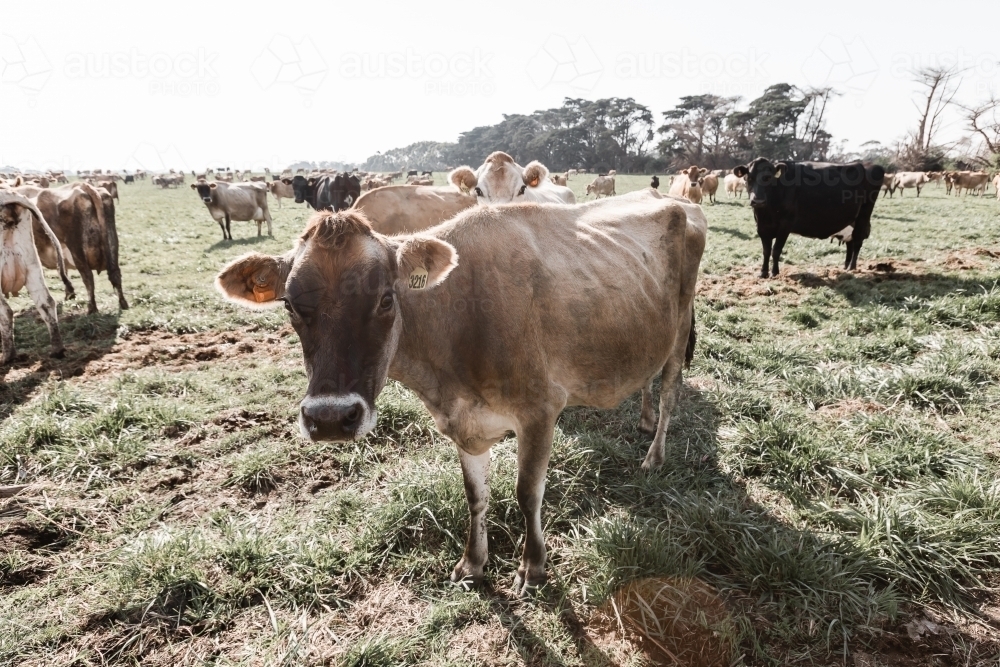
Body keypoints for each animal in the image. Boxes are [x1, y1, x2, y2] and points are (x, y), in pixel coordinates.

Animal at [14, 182, 129, 313]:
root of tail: (82, 186)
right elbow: (62, 268)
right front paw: (69, 293)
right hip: (112, 242)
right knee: (115, 273)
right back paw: (123, 303)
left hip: (76, 249)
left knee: (88, 276)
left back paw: (92, 308)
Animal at [214, 188, 706, 593]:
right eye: (290, 305)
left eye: (387, 298)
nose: (331, 418)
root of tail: (679, 200)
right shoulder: (464, 421)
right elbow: (476, 495)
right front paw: (473, 563)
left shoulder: (540, 410)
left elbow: (527, 493)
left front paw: (533, 568)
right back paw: (643, 421)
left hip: (680, 327)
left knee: (670, 391)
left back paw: (655, 453)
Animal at [732, 158, 884, 278]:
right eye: (748, 178)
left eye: (768, 178)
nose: (757, 201)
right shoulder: (763, 228)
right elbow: (766, 251)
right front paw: (763, 273)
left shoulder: (785, 226)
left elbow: (776, 250)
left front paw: (774, 272)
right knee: (850, 242)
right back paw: (846, 266)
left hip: (864, 214)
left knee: (857, 240)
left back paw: (852, 267)